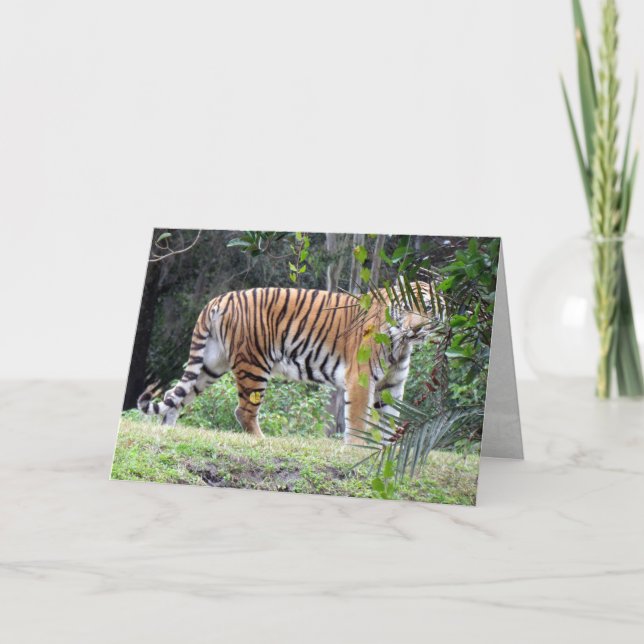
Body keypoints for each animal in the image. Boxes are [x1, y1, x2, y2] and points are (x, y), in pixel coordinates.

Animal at [137, 282, 443, 444]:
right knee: (244, 411)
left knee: (174, 394)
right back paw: (262, 442)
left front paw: (385, 452)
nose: (416, 328)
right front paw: (356, 448)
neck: (401, 343)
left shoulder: (392, 384)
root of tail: (219, 298)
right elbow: (357, 418)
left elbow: (389, 419)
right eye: (407, 307)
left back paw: (167, 430)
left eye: (427, 308)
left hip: (211, 364)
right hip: (254, 365)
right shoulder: (361, 378)